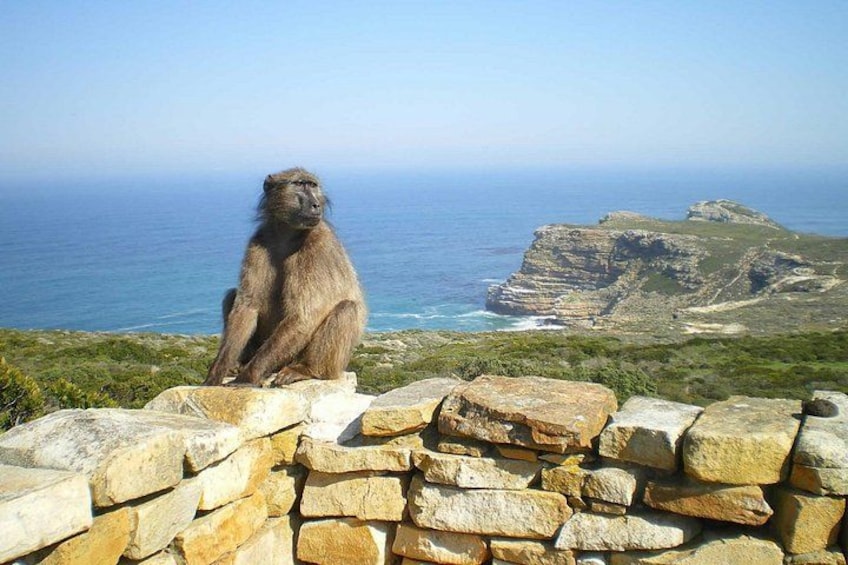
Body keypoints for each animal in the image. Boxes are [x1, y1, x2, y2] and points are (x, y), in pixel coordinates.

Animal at [204, 168, 367, 387]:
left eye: (313, 186)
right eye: (299, 184)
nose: (316, 205)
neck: (287, 235)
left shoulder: (316, 246)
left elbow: (303, 316)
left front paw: (247, 377)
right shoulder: (259, 242)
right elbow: (247, 306)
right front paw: (215, 374)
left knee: (346, 308)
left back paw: (306, 370)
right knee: (232, 295)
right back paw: (238, 364)